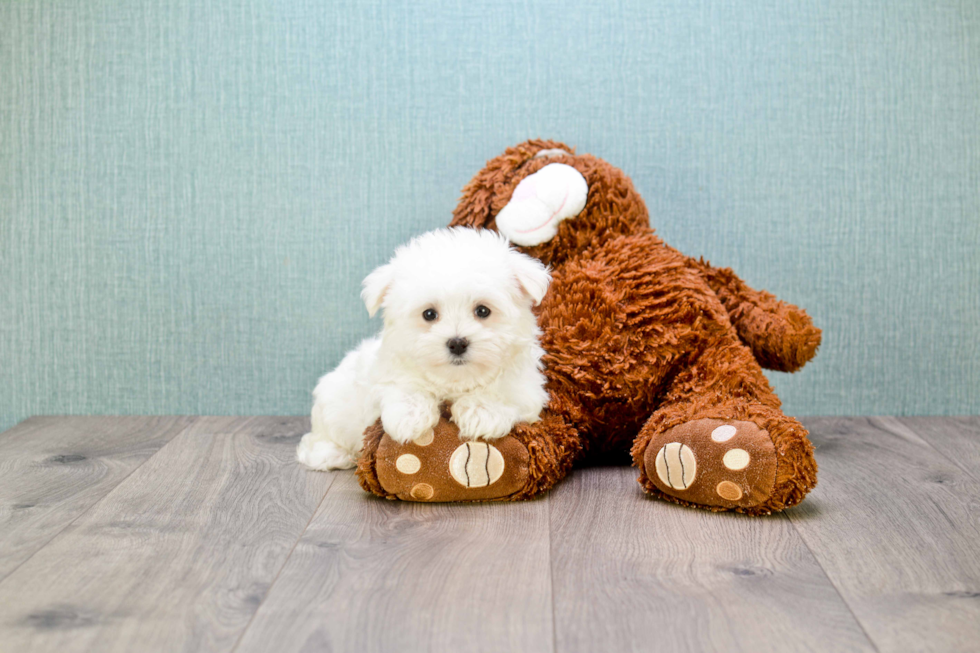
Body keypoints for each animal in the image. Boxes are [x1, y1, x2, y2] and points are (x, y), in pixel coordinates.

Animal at [296, 228, 552, 468]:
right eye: (429, 314)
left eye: (483, 311)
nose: (457, 343)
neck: (455, 380)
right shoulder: (388, 371)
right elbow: (404, 385)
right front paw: (409, 417)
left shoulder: (526, 388)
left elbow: (501, 391)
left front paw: (482, 411)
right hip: (332, 404)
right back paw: (331, 454)